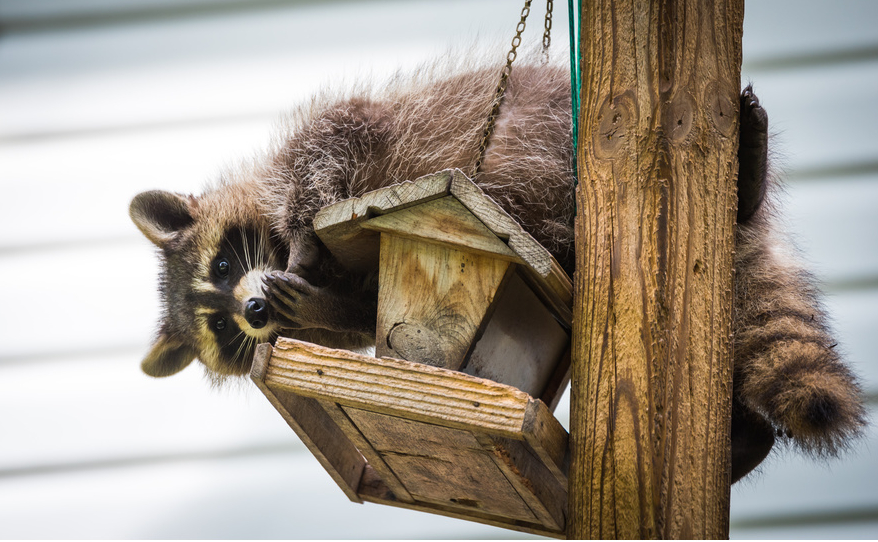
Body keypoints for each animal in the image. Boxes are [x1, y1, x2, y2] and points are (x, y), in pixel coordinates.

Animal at [131, 60, 868, 484]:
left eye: (225, 263)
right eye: (223, 332)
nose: (253, 311)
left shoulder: (330, 142)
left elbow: (329, 149)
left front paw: (303, 237)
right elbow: (360, 311)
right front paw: (314, 308)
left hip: (564, 133)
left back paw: (746, 178)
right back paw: (746, 440)